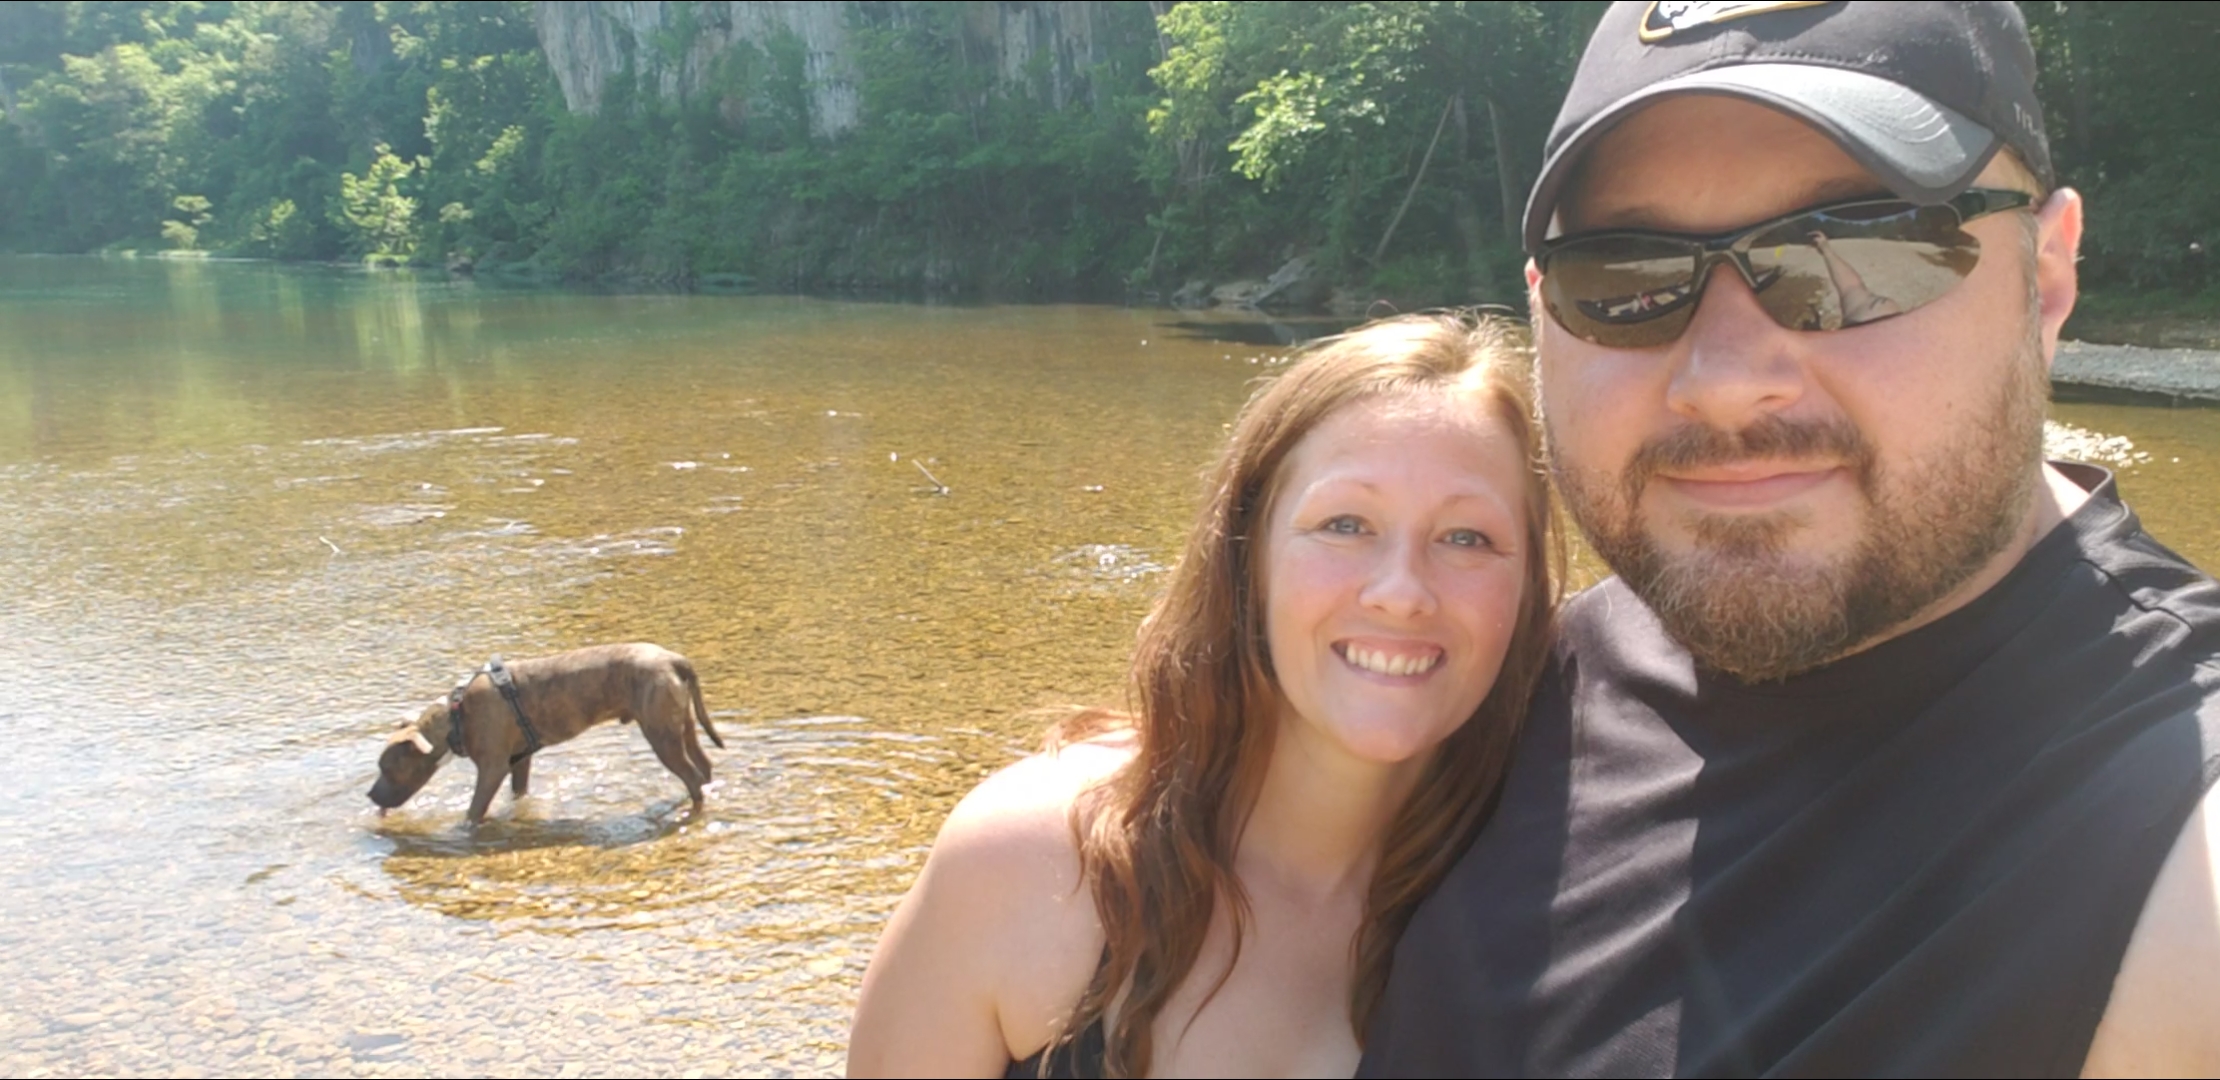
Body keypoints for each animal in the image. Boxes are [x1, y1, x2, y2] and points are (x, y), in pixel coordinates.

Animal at [368, 644, 723, 822]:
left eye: (387, 767)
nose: (370, 795)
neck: (456, 716)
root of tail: (675, 659)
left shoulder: (492, 769)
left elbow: (474, 810)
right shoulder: (519, 761)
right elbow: (518, 792)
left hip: (661, 734)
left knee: (692, 777)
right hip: (681, 726)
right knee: (703, 767)